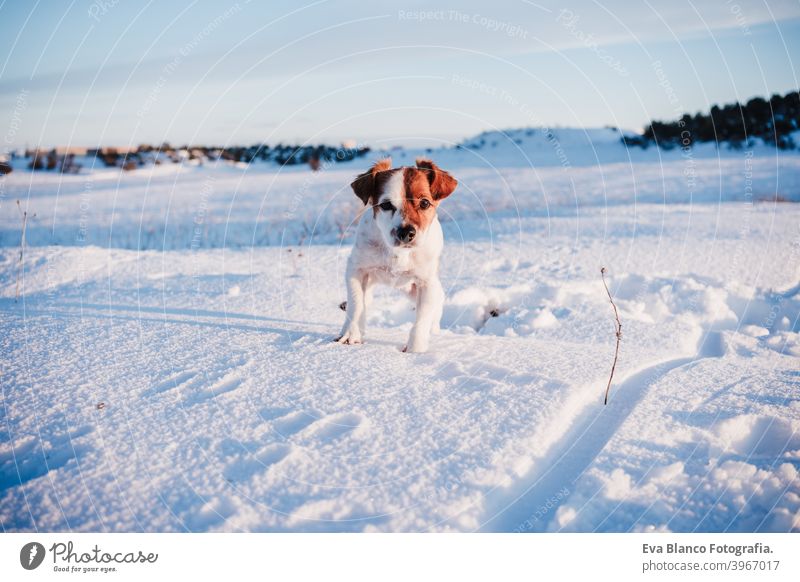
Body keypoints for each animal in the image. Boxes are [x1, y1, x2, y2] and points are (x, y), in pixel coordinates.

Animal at [336, 157, 460, 354]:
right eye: (386, 205)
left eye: (425, 203)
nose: (406, 233)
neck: (399, 253)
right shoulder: (356, 269)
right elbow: (356, 304)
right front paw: (351, 334)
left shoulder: (426, 283)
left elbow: (422, 319)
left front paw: (415, 350)